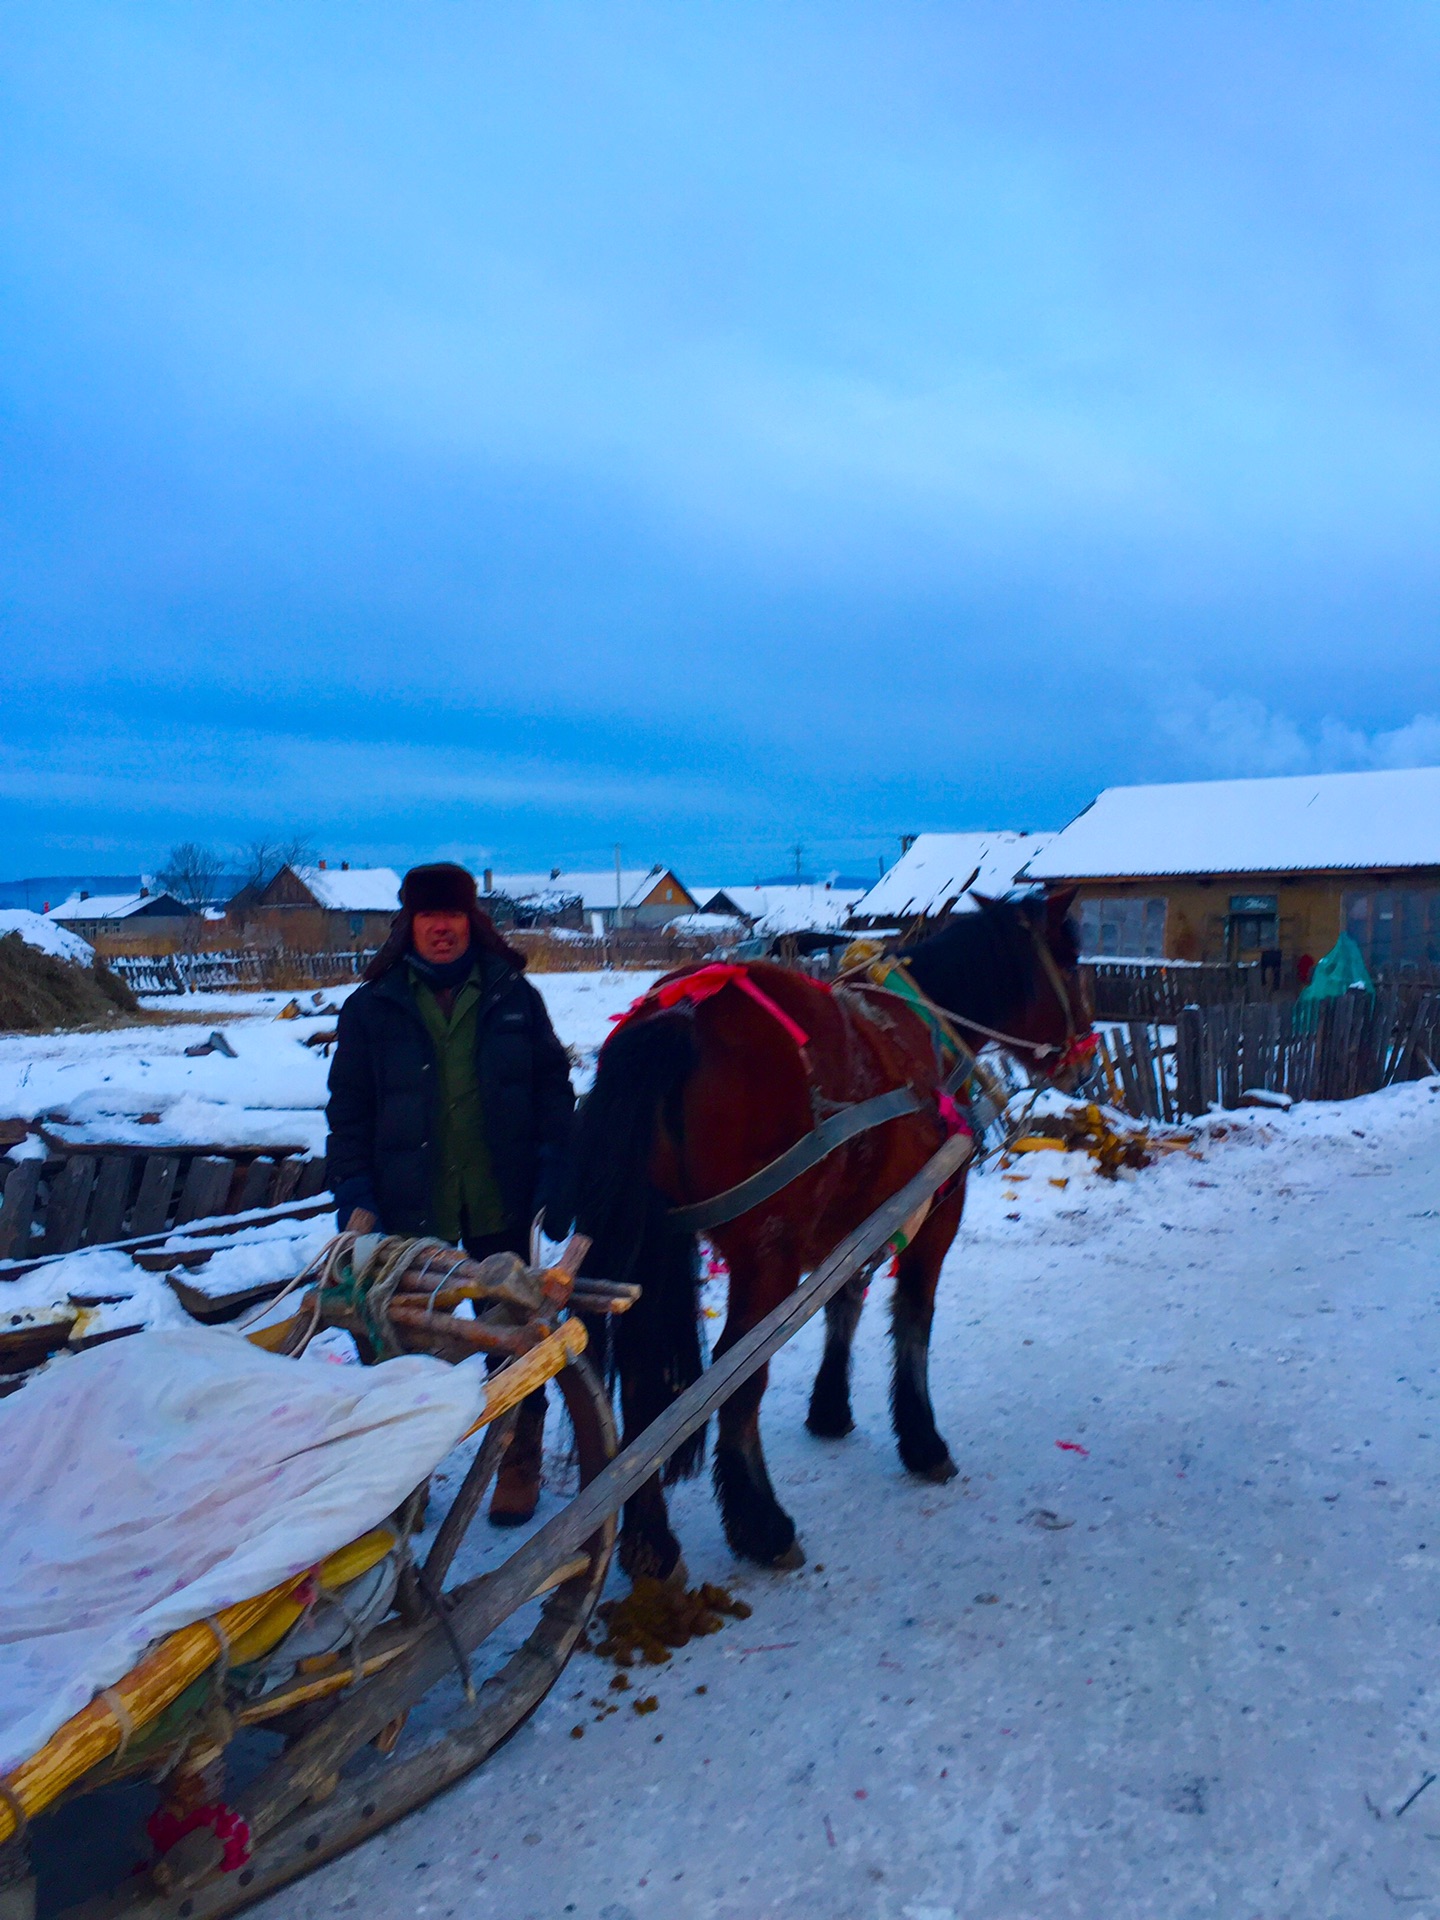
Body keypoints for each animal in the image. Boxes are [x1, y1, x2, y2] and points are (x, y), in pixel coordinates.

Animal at [568, 883, 1090, 1574]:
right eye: (1073, 964)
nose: (1085, 1063)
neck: (932, 1027)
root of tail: (675, 1018)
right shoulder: (938, 1206)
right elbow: (913, 1316)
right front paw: (921, 1440)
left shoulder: (859, 1218)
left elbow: (845, 1302)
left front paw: (830, 1408)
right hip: (767, 1255)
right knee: (738, 1374)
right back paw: (761, 1523)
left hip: (647, 1249)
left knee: (644, 1386)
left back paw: (650, 1540)